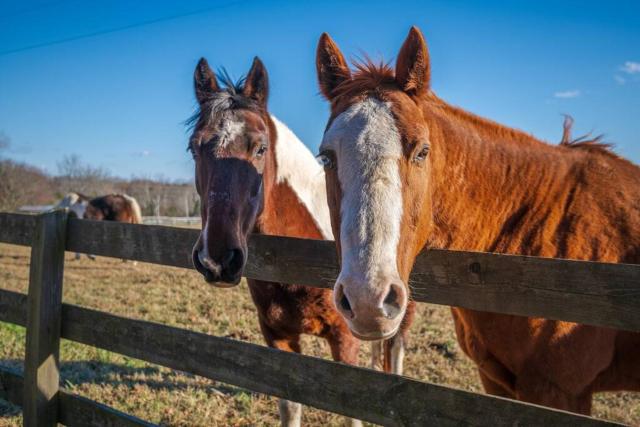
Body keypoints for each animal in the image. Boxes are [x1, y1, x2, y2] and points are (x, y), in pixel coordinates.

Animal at [188, 57, 368, 427]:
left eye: (260, 148)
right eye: (193, 148)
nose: (217, 260)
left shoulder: (345, 339)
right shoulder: (277, 336)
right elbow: (290, 407)